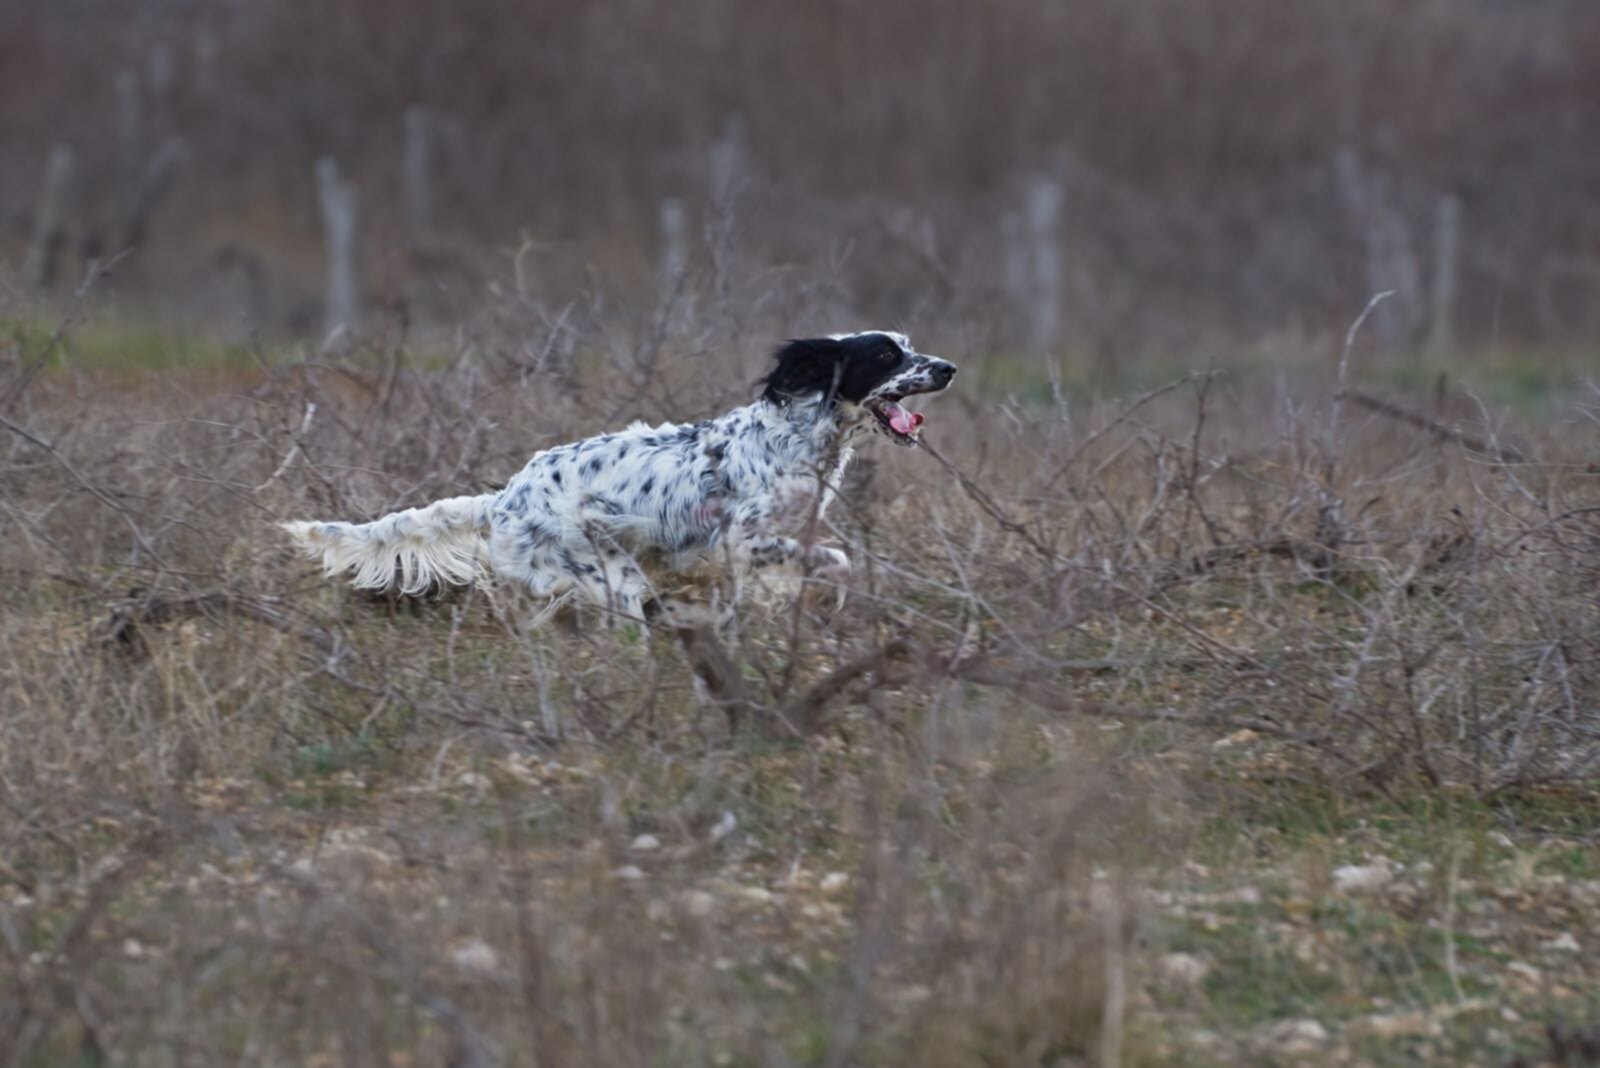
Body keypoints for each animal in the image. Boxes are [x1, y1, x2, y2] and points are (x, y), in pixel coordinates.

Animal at [281, 329, 953, 620]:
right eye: (886, 354)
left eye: (909, 342)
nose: (947, 367)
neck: (795, 434)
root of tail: (503, 499)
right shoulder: (744, 540)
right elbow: (838, 559)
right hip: (614, 580)